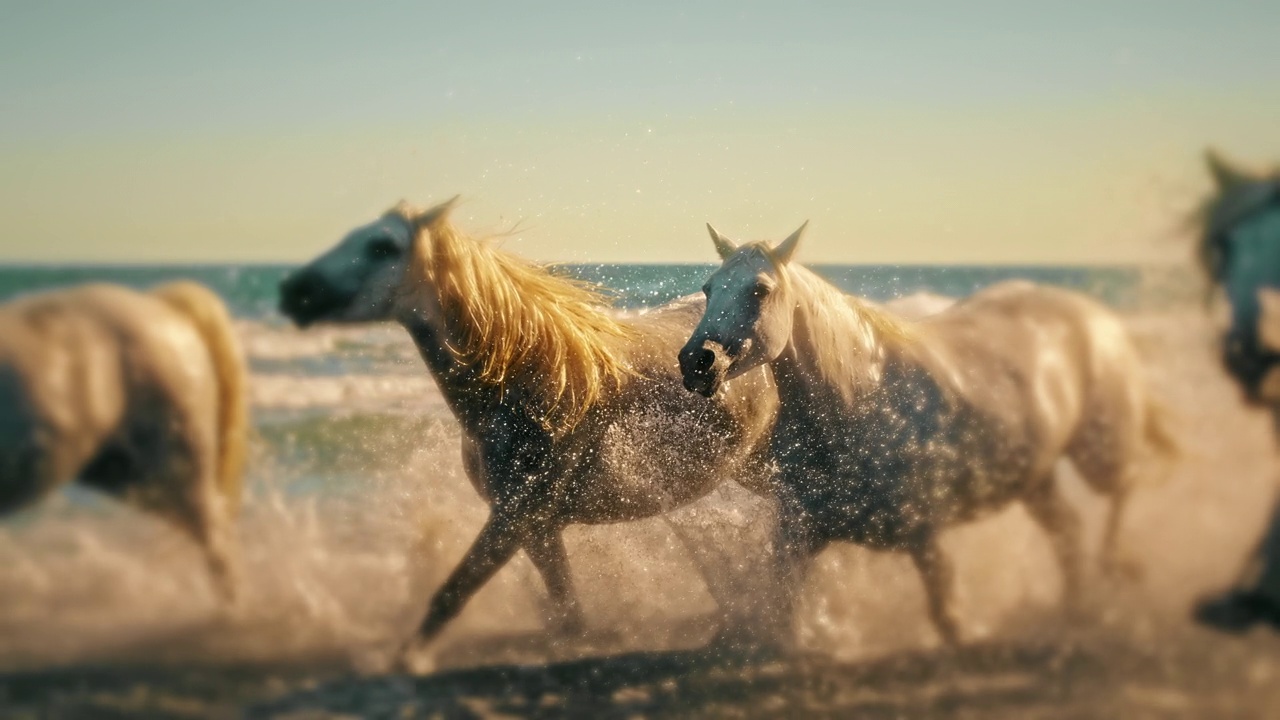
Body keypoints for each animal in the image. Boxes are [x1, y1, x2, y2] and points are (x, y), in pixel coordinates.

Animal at [680, 221, 1177, 640]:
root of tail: (1095, 316)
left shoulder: (927, 537)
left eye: (760, 290)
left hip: (1099, 452)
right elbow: (782, 623)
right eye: (709, 288)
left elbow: (949, 620)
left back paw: (1118, 567)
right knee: (1069, 533)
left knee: (1123, 487)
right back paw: (1074, 610)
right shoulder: (797, 540)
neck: (860, 399)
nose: (696, 361)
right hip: (1034, 479)